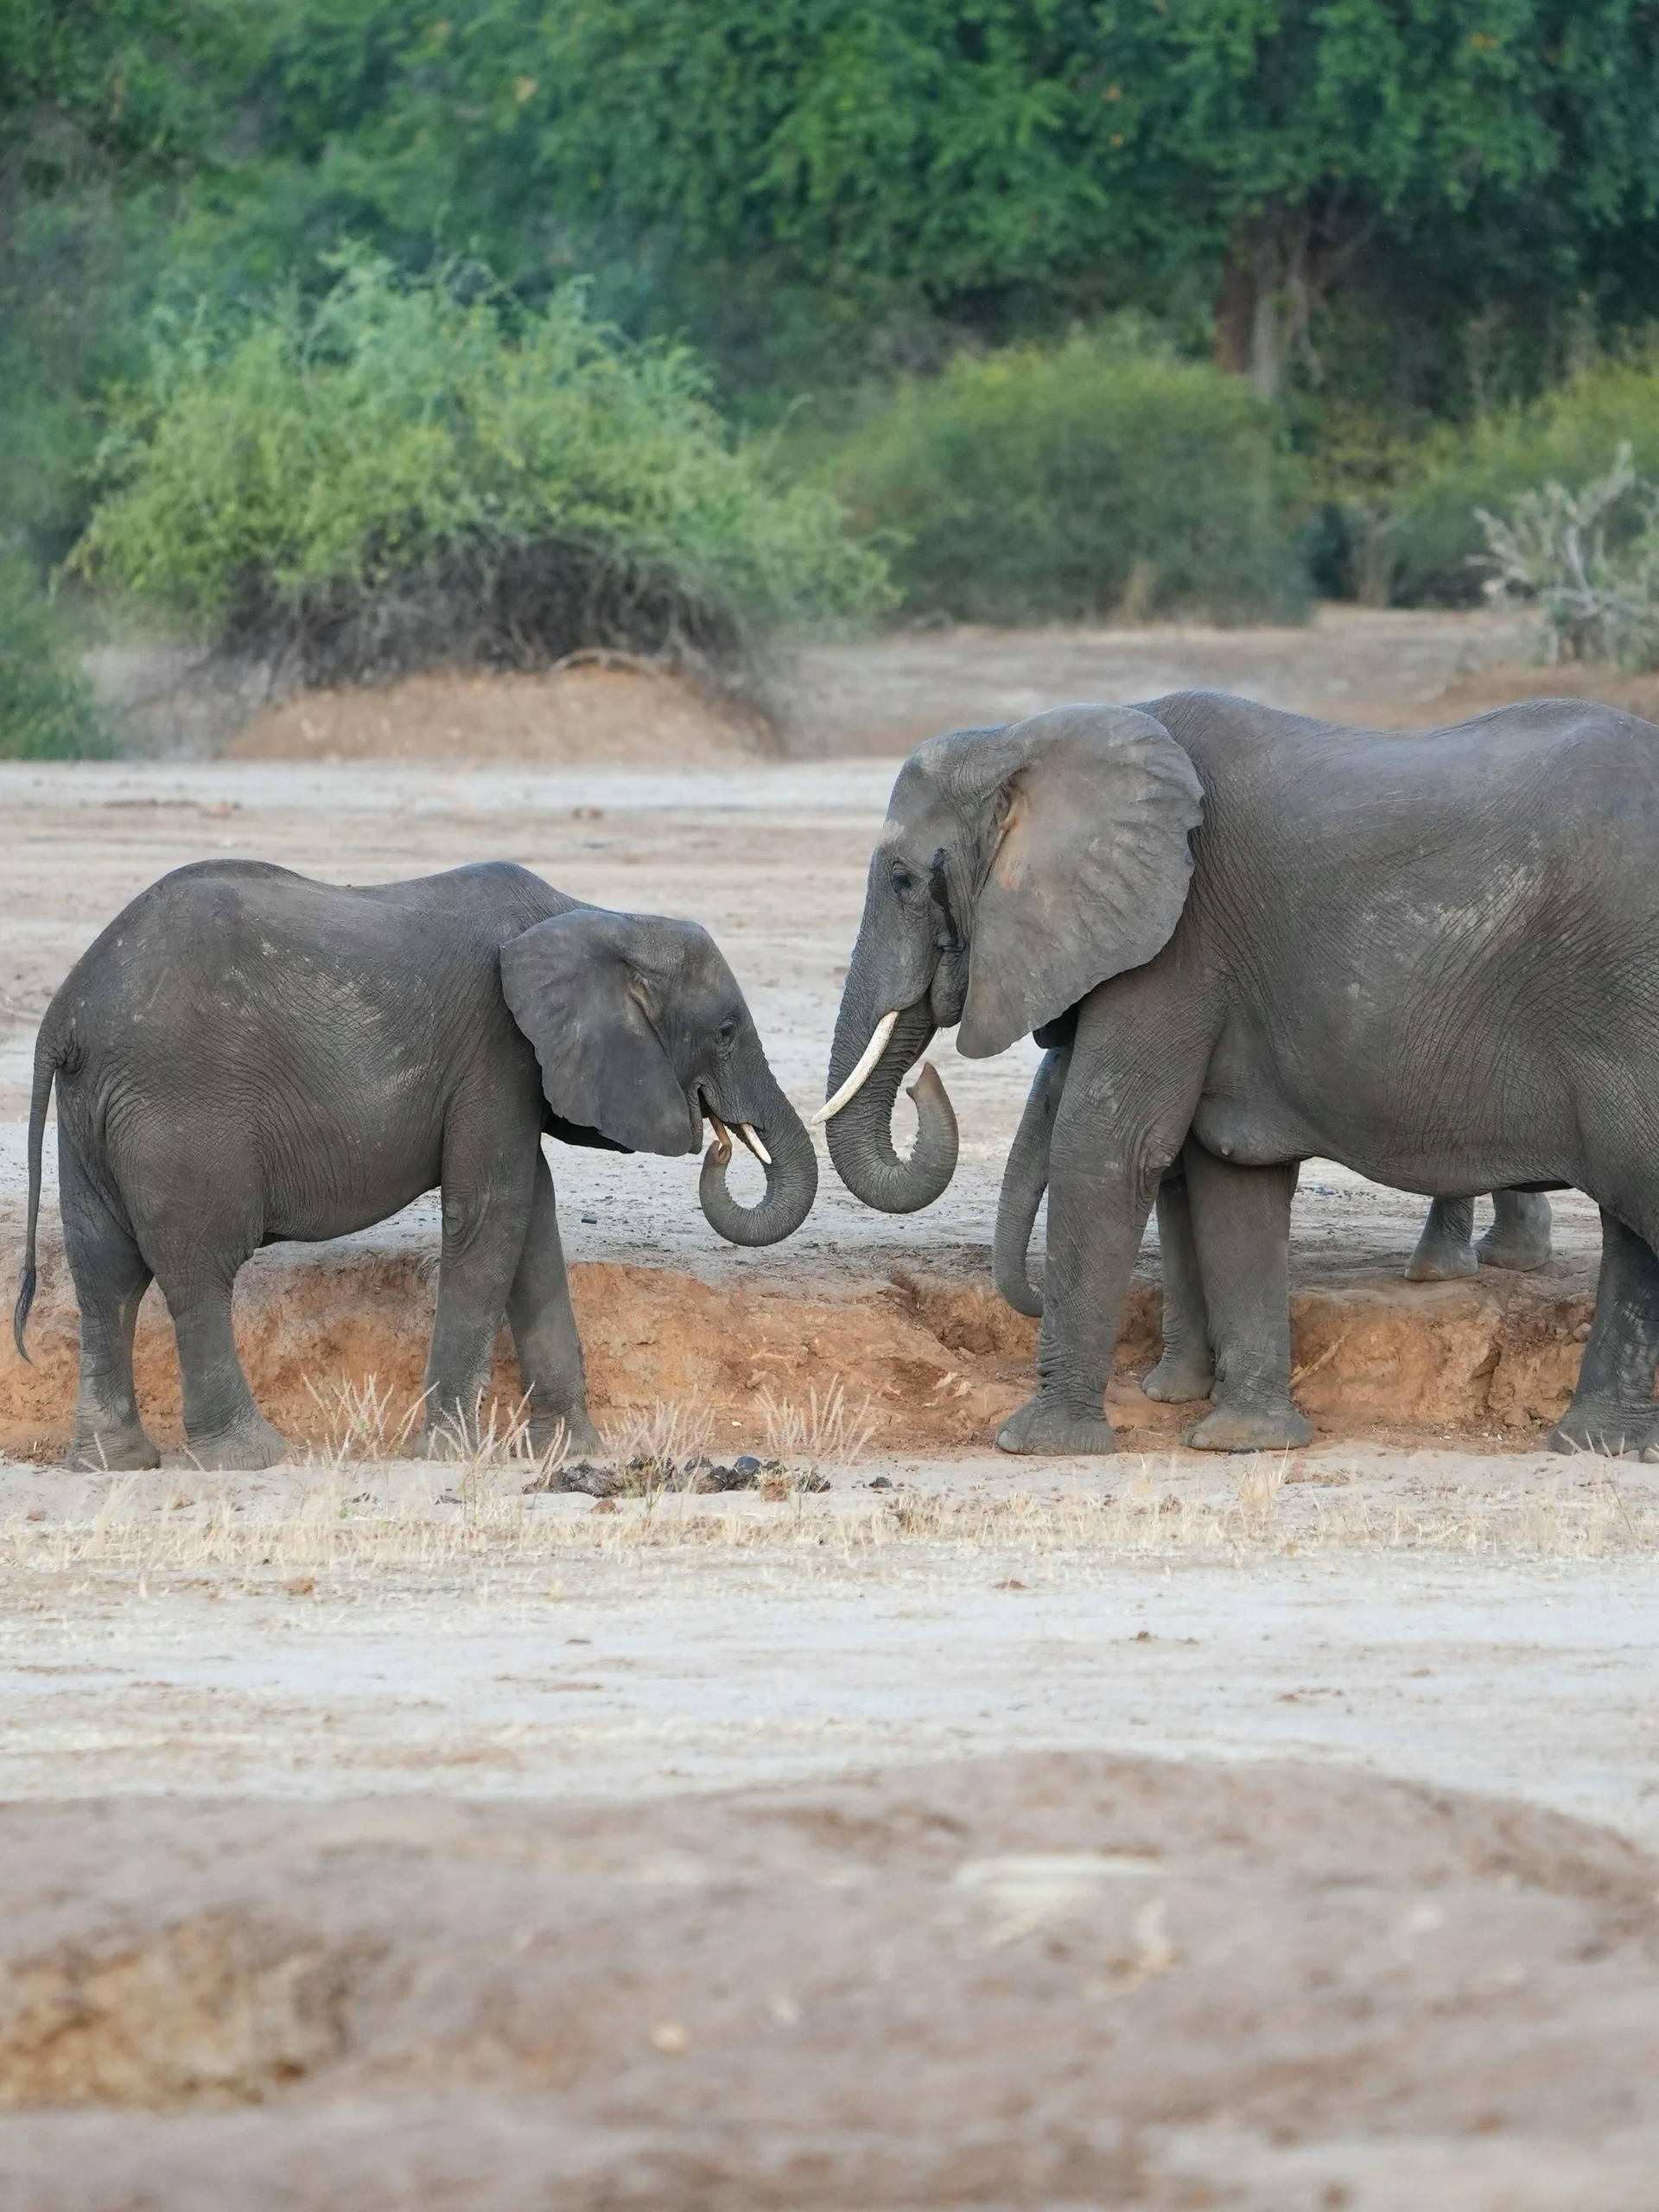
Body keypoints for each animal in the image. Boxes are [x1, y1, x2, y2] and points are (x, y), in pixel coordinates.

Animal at [13, 858, 815, 1471]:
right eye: (726, 1030)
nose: (721, 1139)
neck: (596, 918)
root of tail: (63, 1016)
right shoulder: (497, 1049)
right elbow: (491, 1217)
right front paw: (450, 1454)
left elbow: (531, 1224)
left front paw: (569, 1453)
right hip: (178, 1110)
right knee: (198, 1270)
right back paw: (250, 1459)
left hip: (94, 1116)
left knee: (105, 1277)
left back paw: (111, 1463)